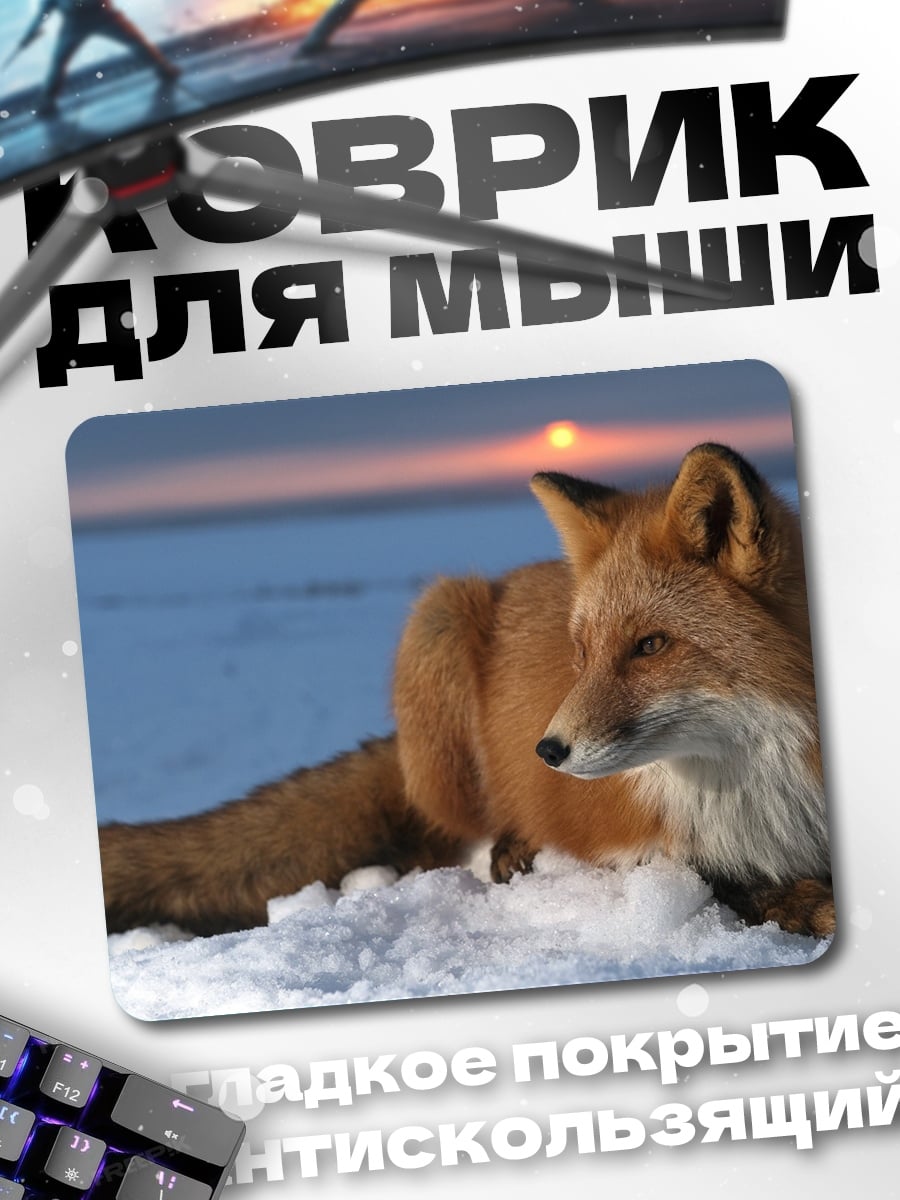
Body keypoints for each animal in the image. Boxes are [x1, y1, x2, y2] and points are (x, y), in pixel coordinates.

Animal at [99, 443, 835, 940]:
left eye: (651, 645)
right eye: (581, 654)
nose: (548, 752)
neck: (763, 778)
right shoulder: (632, 840)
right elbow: (723, 879)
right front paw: (801, 903)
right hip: (439, 623)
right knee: (446, 839)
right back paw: (509, 847)